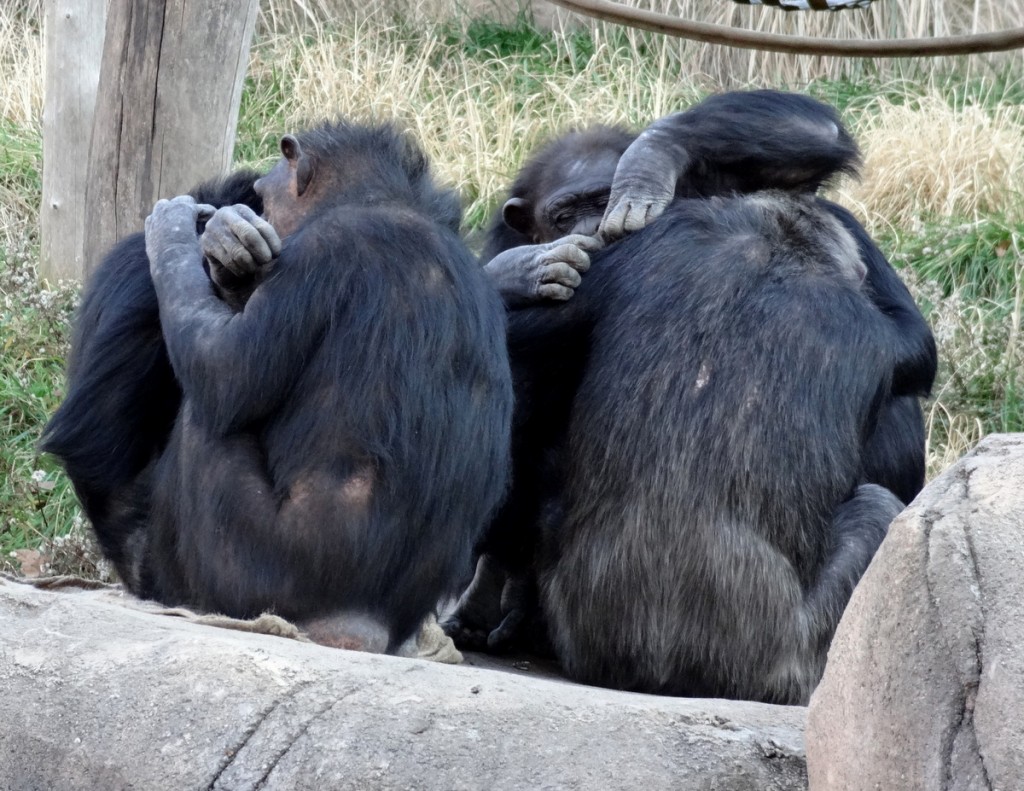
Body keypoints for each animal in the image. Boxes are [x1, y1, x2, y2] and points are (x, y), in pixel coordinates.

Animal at [46, 118, 512, 647]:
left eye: (269, 198)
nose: (261, 213)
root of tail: (355, 629)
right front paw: (229, 249)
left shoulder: (318, 252)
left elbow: (222, 371)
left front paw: (175, 230)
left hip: (244, 577)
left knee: (205, 417)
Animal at [442, 89, 937, 700]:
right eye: (563, 214)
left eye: (602, 198)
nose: (594, 225)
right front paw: (519, 271)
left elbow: (815, 134)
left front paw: (651, 157)